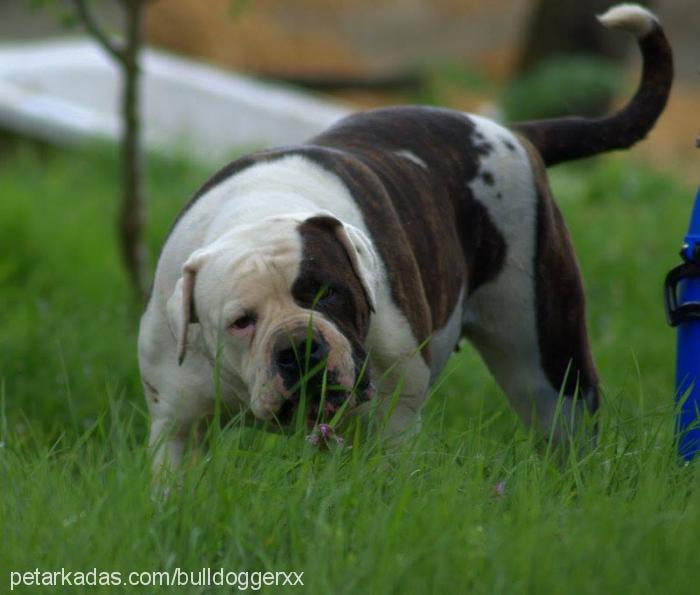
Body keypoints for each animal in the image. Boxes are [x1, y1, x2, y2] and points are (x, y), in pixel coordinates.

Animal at [138, 4, 672, 474]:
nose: (299, 346)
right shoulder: (176, 427)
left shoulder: (389, 423)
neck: (260, 209)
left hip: (548, 362)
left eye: (327, 292)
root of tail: (508, 131)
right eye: (241, 322)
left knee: (563, 422)